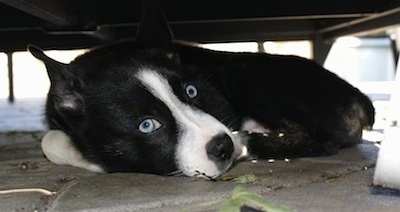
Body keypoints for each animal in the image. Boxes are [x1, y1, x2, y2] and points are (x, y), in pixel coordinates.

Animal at [28, 0, 376, 179]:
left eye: (193, 92)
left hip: (245, 72)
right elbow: (49, 140)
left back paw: (251, 142)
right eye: (147, 125)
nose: (223, 146)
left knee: (325, 140)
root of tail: (358, 96)